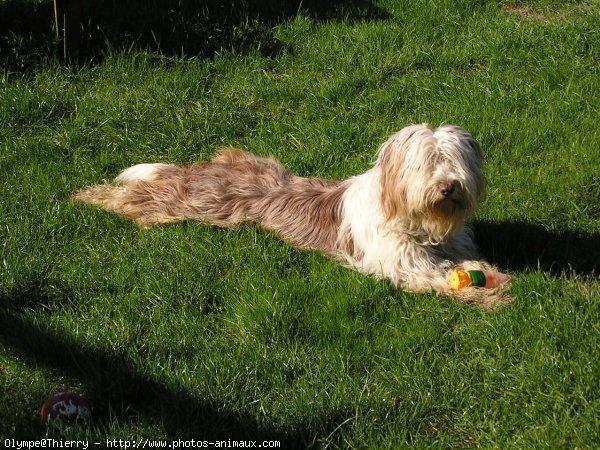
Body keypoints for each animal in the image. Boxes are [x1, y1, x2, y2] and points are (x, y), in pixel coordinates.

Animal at [71, 124, 510, 306]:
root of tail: (196, 171)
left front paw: (494, 277)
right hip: (179, 205)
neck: (424, 227)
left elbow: (469, 264)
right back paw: (86, 195)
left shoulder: (451, 247)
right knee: (128, 198)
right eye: (426, 163)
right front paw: (490, 295)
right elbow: (437, 279)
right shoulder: (404, 265)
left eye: (454, 161)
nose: (448, 186)